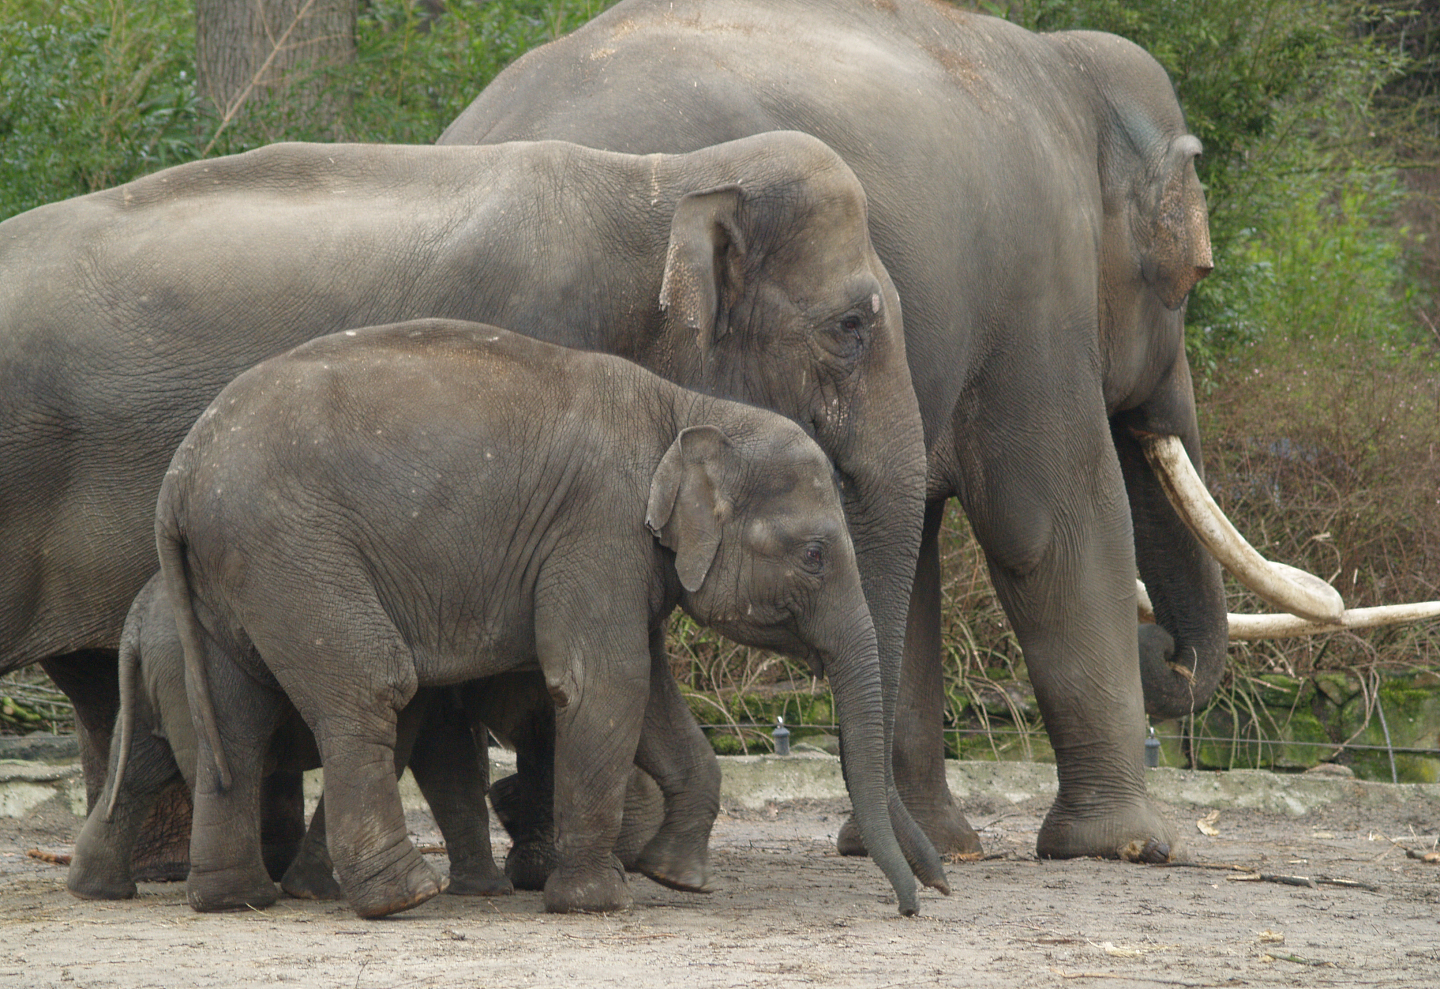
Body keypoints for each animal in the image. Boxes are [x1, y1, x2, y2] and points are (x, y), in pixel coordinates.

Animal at [65, 573, 512, 903]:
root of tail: (135, 625)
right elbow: (431, 750)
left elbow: (437, 751)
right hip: (184, 674)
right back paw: (247, 894)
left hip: (150, 682)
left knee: (139, 769)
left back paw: (98, 891)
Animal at [159, 317, 919, 919]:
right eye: (815, 555)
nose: (916, 904)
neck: (688, 408)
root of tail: (180, 472)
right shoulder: (599, 525)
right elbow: (605, 683)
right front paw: (598, 902)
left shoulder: (625, 557)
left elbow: (651, 699)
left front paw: (677, 876)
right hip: (291, 549)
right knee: (373, 684)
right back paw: (405, 897)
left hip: (237, 570)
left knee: (235, 715)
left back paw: (234, 898)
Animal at [437, 0, 1345, 861]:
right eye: (1191, 280)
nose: (1164, 653)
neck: (1070, 76)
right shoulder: (1037, 292)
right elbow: (1048, 527)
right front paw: (1128, 845)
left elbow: (905, 553)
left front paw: (934, 845)